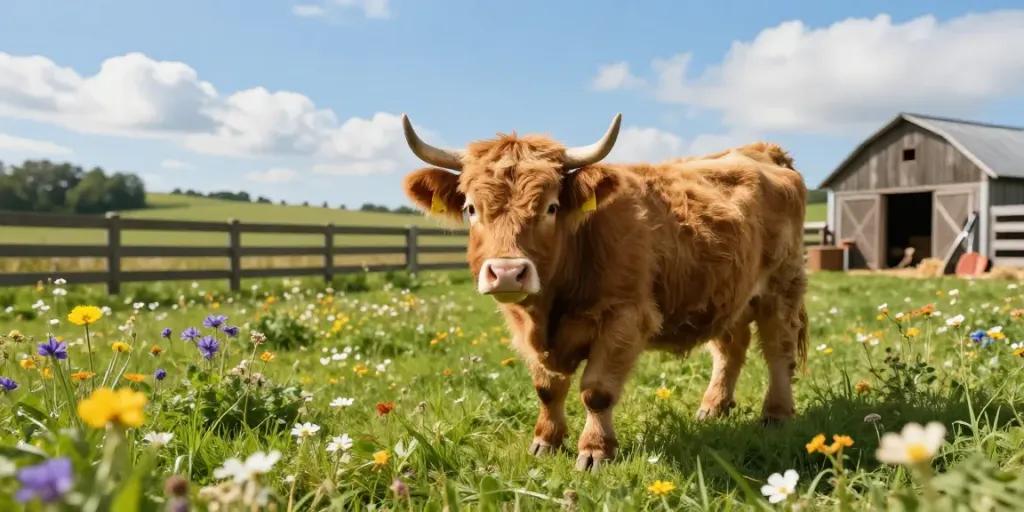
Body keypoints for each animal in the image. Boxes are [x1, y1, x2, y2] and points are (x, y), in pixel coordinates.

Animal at [398, 113, 810, 472]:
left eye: (551, 207)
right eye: (471, 208)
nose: (508, 273)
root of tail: (761, 150)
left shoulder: (624, 318)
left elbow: (596, 391)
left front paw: (595, 451)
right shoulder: (523, 328)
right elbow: (547, 388)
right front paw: (545, 441)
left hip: (782, 287)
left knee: (779, 351)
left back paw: (776, 414)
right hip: (729, 294)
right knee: (730, 349)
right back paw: (713, 407)